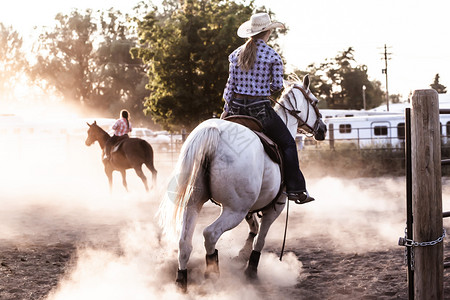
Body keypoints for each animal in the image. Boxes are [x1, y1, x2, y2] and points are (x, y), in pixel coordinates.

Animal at [159, 74, 326, 290]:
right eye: (315, 101)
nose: (322, 129)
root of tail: (213, 132)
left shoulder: (250, 206)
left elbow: (253, 227)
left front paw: (241, 255)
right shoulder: (275, 206)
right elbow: (260, 239)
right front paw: (251, 270)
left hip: (194, 202)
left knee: (184, 242)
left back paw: (181, 282)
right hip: (233, 210)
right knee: (210, 234)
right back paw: (212, 274)